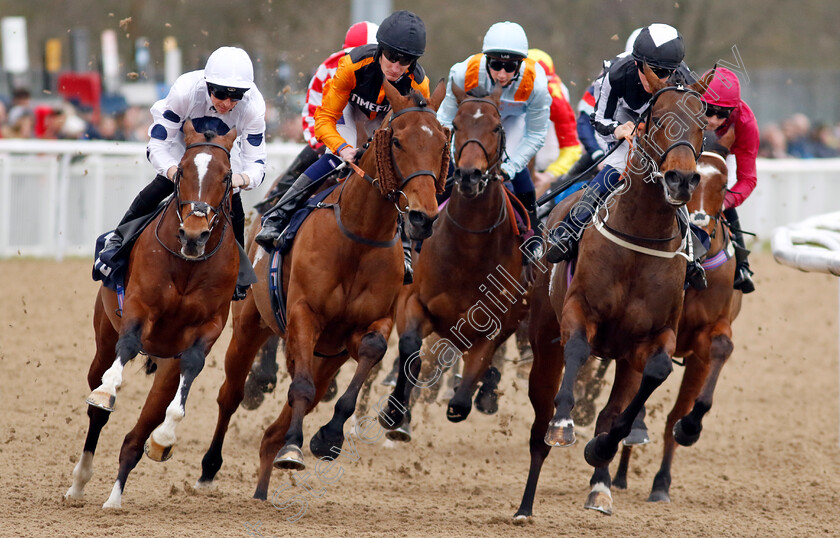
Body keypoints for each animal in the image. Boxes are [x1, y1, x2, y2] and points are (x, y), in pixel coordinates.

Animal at [65, 122, 240, 506]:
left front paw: (163, 438)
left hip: (165, 365)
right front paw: (107, 391)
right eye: (183, 171)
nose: (194, 234)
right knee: (97, 412)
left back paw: (115, 497)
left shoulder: (208, 327)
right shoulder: (139, 307)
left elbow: (191, 368)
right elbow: (126, 351)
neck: (187, 265)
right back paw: (79, 483)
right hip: (104, 337)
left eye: (226, 175)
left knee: (135, 436)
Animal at [195, 79, 452, 498]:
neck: (359, 236)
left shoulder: (372, 323)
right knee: (231, 394)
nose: (422, 216)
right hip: (251, 325)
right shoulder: (304, 315)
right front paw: (294, 450)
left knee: (286, 416)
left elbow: (370, 352)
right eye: (397, 141)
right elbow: (297, 388)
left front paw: (327, 438)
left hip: (328, 357)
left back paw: (264, 483)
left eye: (443, 144)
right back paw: (209, 468)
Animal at [382, 81, 532, 438]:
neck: (469, 249)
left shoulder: (493, 327)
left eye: (496, 127)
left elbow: (463, 398)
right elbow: (410, 350)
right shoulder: (414, 301)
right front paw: (395, 414)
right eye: (457, 125)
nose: (468, 175)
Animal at [512, 65, 716, 516]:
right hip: (543, 341)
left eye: (703, 124)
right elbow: (576, 351)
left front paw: (600, 452)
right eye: (657, 121)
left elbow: (650, 379)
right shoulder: (579, 311)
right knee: (538, 425)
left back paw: (600, 486)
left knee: (611, 408)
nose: (681, 179)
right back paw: (525, 505)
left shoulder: (653, 337)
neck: (640, 237)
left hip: (623, 358)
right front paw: (565, 425)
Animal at [612, 127, 740, 500]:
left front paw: (688, 431)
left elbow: (719, 351)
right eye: (696, 180)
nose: (698, 225)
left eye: (723, 184)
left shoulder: (705, 338)